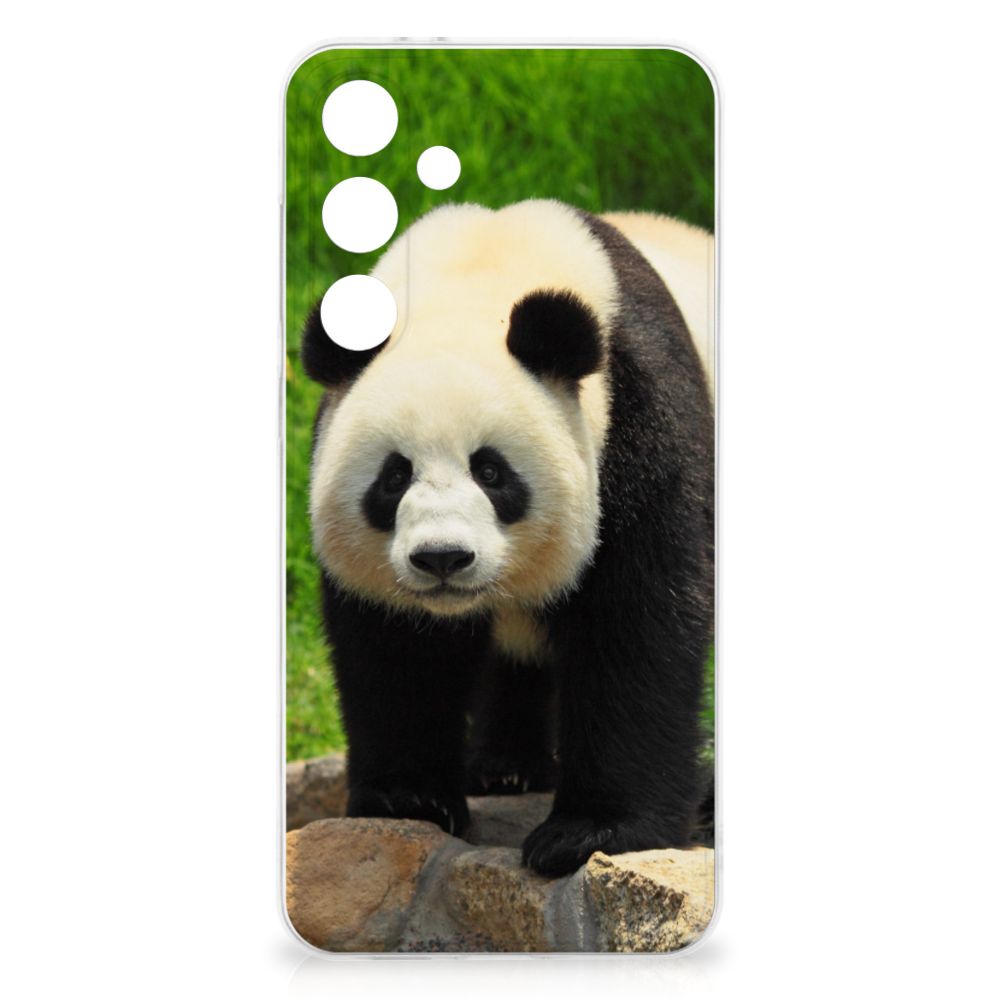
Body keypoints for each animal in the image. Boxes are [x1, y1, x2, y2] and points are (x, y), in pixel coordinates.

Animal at [300, 199, 714, 877]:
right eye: (394, 477)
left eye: (491, 472)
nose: (442, 558)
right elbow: (396, 648)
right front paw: (408, 799)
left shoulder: (640, 420)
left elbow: (638, 623)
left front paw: (590, 832)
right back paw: (505, 768)